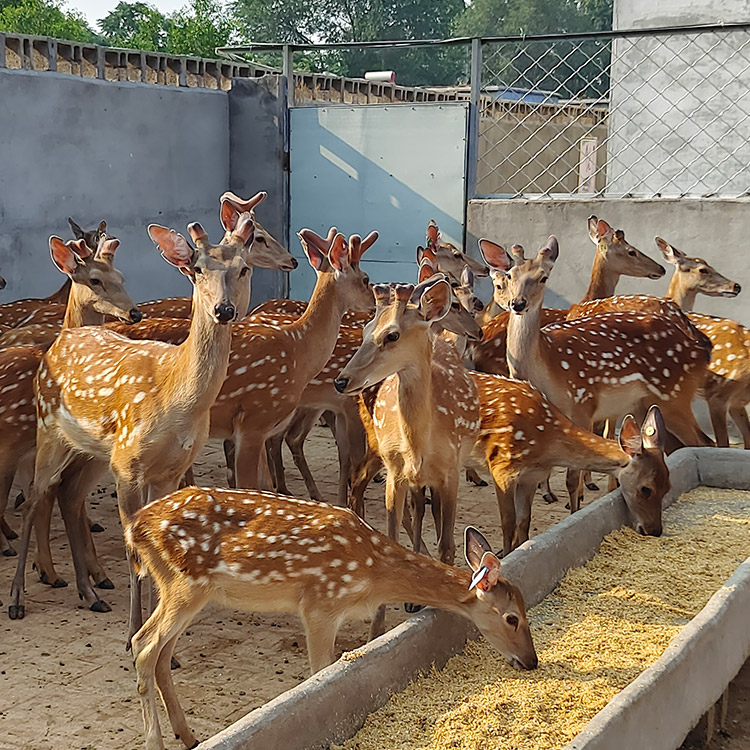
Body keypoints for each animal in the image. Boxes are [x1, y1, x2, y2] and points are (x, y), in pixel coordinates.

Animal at [128, 490, 536, 750]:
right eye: (512, 618)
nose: (531, 661)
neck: (374, 574)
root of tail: (136, 526)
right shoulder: (320, 603)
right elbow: (320, 674)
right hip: (186, 584)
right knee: (143, 645)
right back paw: (155, 742)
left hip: (184, 588)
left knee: (161, 654)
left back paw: (188, 735)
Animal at [472, 374, 672, 556]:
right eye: (645, 489)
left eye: (668, 487)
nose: (655, 530)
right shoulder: (502, 465)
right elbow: (508, 523)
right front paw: (505, 556)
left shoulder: (531, 476)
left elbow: (523, 521)